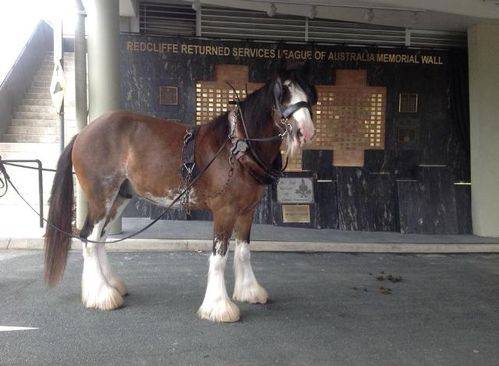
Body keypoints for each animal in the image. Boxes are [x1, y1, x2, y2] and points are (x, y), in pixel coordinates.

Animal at [43, 65, 316, 320]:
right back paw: (101, 295)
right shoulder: (224, 211)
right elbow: (220, 256)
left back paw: (109, 286)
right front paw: (219, 307)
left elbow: (244, 252)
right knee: (88, 237)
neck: (237, 147)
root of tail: (83, 133)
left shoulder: (247, 211)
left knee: (99, 238)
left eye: (308, 93)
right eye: (282, 94)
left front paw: (249, 291)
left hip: (119, 197)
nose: (307, 131)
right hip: (102, 196)